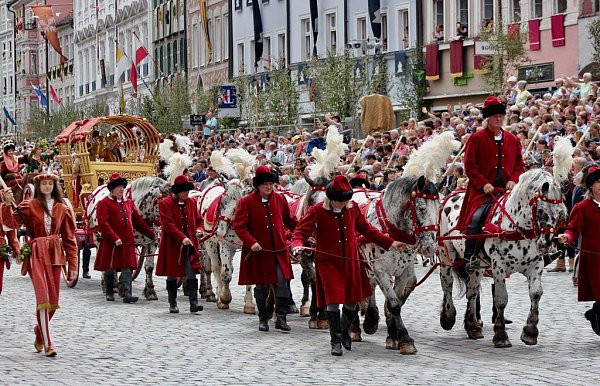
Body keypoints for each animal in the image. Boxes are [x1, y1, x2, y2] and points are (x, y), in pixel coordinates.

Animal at [356, 176, 440, 354]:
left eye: (439, 209)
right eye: (422, 208)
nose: (430, 247)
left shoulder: (404, 272)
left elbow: (394, 302)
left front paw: (394, 337)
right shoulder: (380, 270)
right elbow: (394, 304)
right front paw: (405, 339)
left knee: (369, 285)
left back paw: (370, 319)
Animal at [436, 138, 572, 346]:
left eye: (560, 214)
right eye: (540, 211)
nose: (546, 245)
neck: (518, 228)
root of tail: (450, 195)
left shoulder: (535, 265)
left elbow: (536, 293)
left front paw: (530, 331)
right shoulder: (498, 266)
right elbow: (501, 298)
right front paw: (500, 335)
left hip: (476, 264)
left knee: (472, 290)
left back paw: (473, 326)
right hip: (446, 255)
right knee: (448, 284)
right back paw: (448, 317)